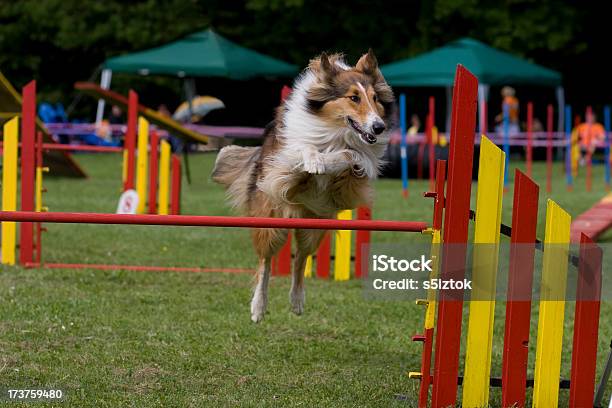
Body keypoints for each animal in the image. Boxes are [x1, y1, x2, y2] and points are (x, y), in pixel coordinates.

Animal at [215, 50, 394, 322]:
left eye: (375, 98)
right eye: (353, 97)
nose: (378, 127)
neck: (335, 131)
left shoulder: (352, 178)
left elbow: (350, 155)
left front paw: (328, 161)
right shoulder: (283, 170)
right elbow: (303, 149)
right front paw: (314, 160)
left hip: (315, 227)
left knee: (300, 258)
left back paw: (297, 301)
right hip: (272, 223)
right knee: (266, 262)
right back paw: (258, 307)